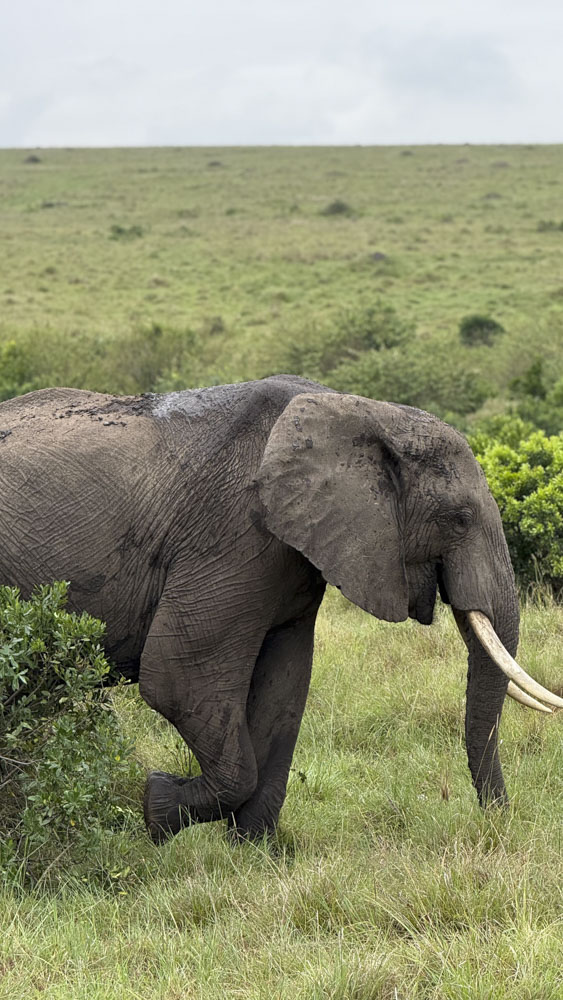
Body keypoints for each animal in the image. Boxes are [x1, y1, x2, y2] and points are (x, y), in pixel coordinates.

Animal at [0, 374, 560, 843]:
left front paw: (254, 853)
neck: (361, 411)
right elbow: (179, 682)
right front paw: (157, 807)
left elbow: (285, 686)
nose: (498, 823)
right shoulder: (232, 534)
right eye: (458, 517)